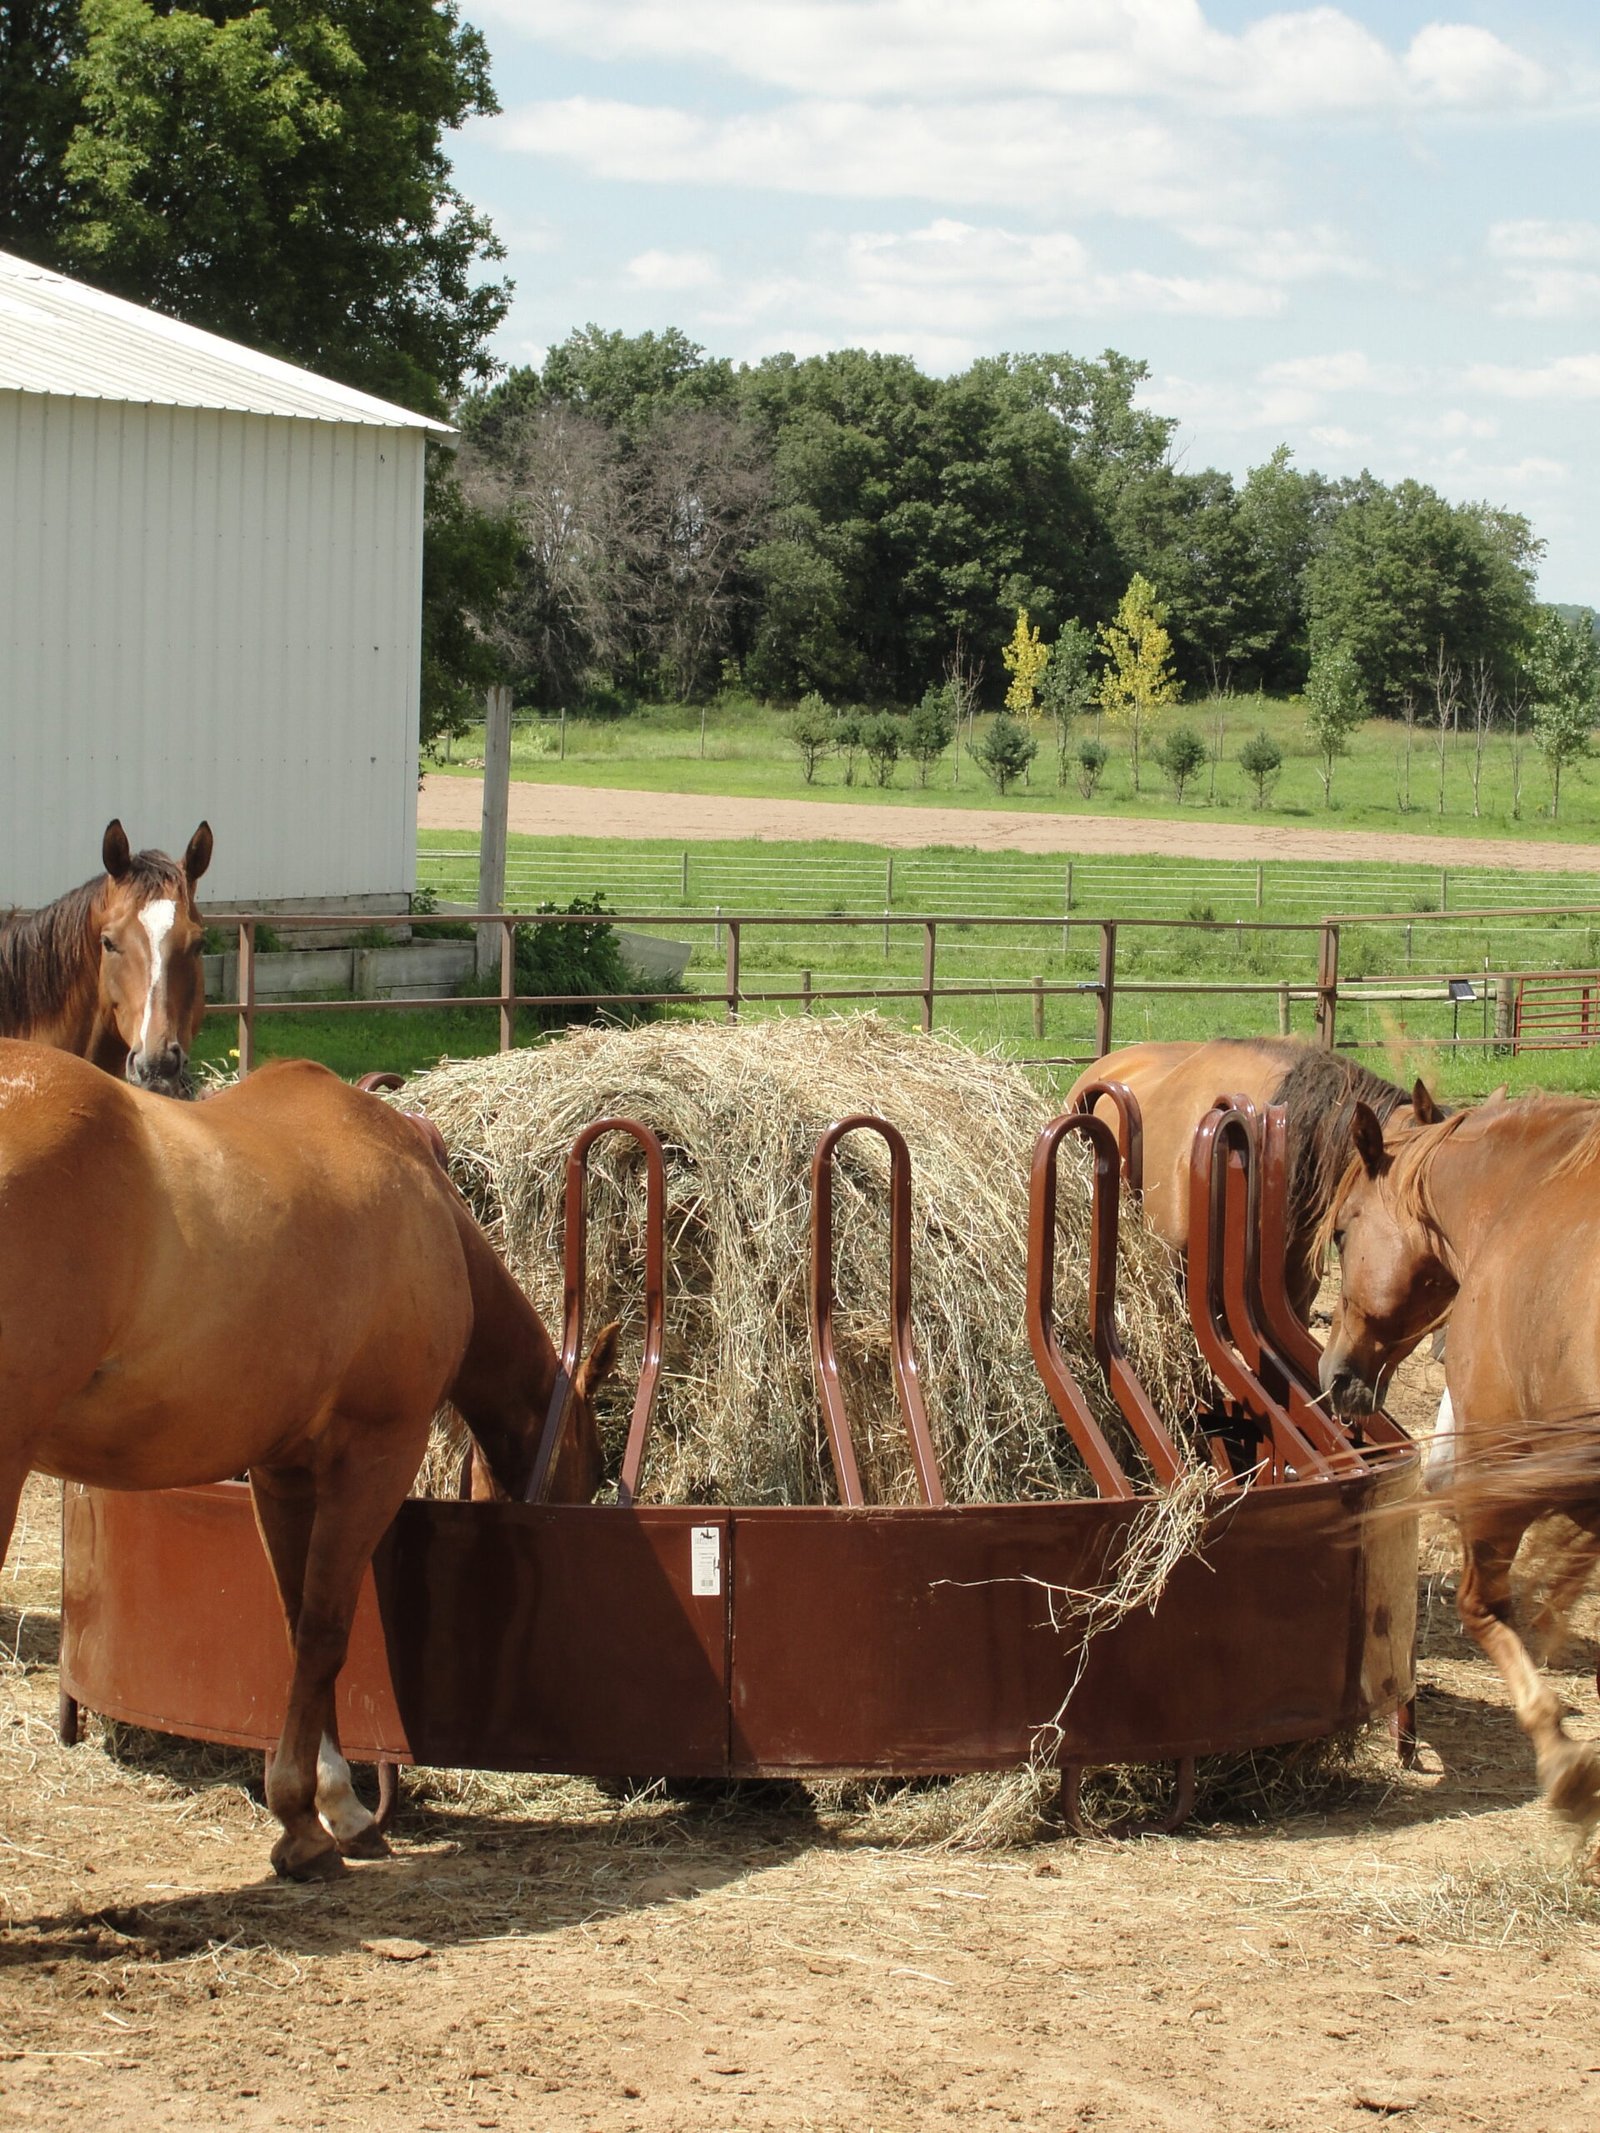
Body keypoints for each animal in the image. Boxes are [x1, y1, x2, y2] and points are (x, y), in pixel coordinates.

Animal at [0, 1039, 618, 1880]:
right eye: (593, 1467)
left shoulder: (282, 1471)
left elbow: (298, 1625)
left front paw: (334, 1803)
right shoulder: (378, 1454)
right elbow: (327, 1629)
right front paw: (306, 1817)